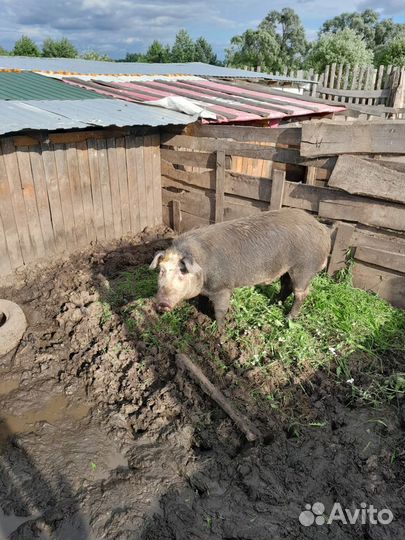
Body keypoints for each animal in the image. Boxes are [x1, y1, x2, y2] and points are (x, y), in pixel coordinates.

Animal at [150, 209, 330, 326]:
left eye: (182, 272)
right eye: (162, 271)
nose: (162, 304)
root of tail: (323, 229)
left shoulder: (223, 287)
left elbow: (220, 310)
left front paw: (219, 330)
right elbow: (202, 301)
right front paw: (200, 315)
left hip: (304, 267)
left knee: (301, 293)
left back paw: (288, 319)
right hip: (287, 269)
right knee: (286, 286)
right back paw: (272, 304)